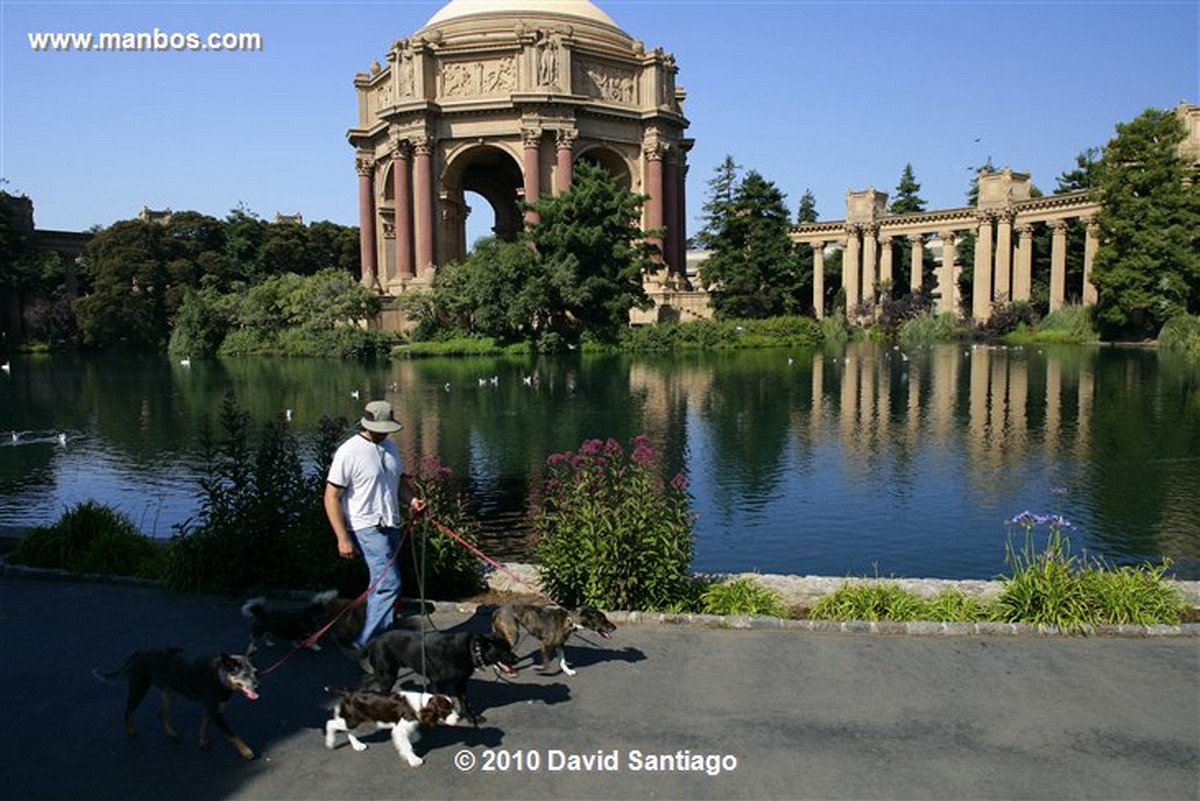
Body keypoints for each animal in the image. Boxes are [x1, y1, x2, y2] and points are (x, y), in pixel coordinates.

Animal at [91, 647, 262, 762]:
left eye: (255, 672)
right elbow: (232, 735)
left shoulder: (214, 708)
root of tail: (139, 653)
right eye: (244, 675)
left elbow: (205, 724)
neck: (219, 676)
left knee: (161, 714)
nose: (258, 686)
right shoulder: (215, 712)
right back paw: (131, 731)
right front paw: (246, 752)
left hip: (170, 692)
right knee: (128, 710)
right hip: (139, 688)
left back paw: (171, 734)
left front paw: (203, 740)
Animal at [324, 685, 458, 767]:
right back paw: (330, 742)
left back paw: (358, 745)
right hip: (351, 719)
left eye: (452, 707)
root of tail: (348, 693)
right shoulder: (400, 729)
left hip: (356, 719)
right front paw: (414, 760)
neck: (421, 703)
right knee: (330, 723)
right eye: (446, 710)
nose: (458, 718)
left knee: (350, 732)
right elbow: (407, 746)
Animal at [355, 633, 516, 724]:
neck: (470, 650)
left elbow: (464, 701)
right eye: (504, 650)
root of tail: (373, 641)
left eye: (509, 648)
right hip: (388, 675)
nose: (517, 659)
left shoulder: (460, 682)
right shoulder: (437, 683)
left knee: (366, 679)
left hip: (384, 673)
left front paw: (471, 719)